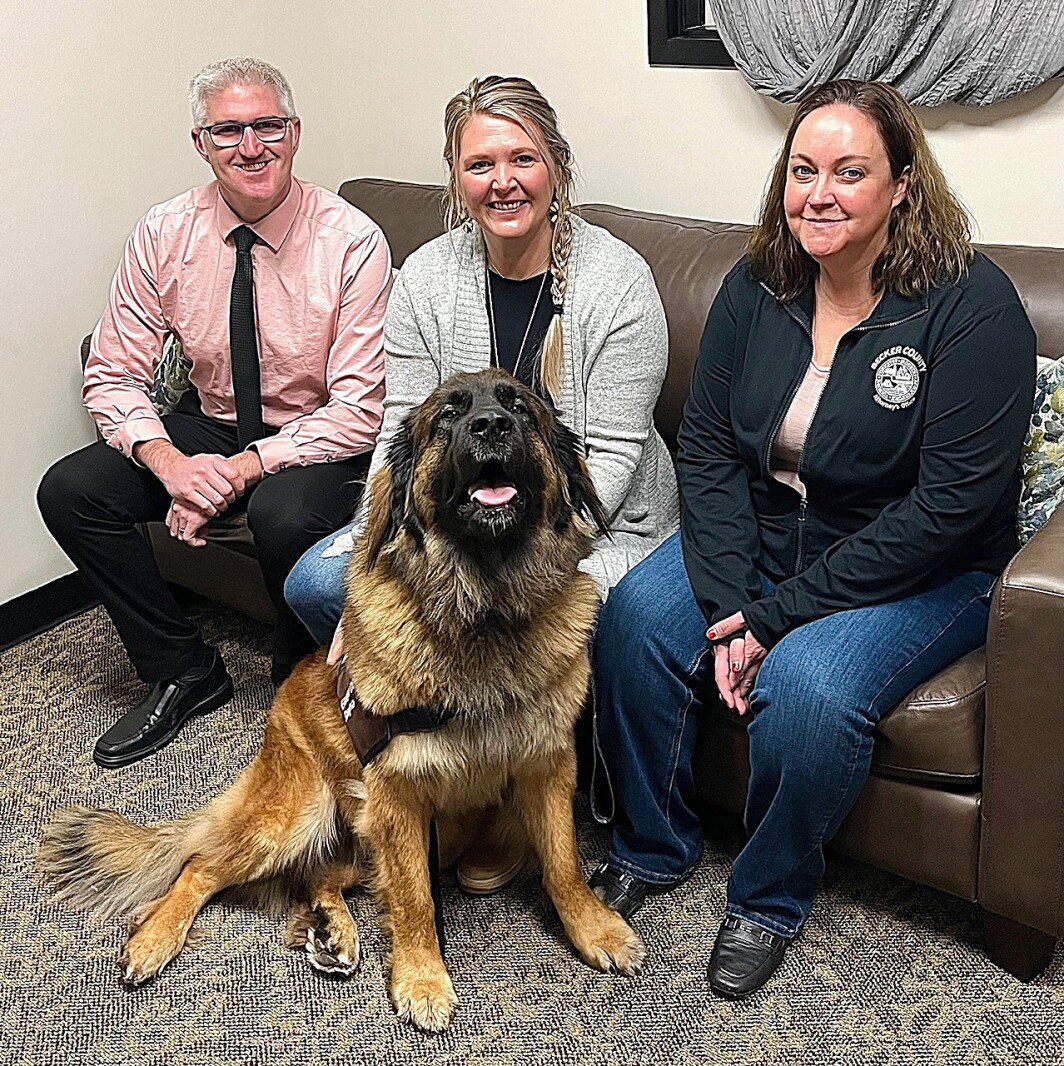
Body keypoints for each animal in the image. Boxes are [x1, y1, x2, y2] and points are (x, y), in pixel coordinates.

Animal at [37, 368, 643, 1031]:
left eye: (520, 409)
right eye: (449, 416)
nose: (491, 426)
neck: (485, 609)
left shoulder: (546, 767)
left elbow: (563, 863)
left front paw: (594, 928)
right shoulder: (399, 793)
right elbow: (415, 899)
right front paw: (422, 977)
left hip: (403, 830)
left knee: (321, 875)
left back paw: (335, 930)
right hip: (300, 814)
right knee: (202, 867)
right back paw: (156, 939)